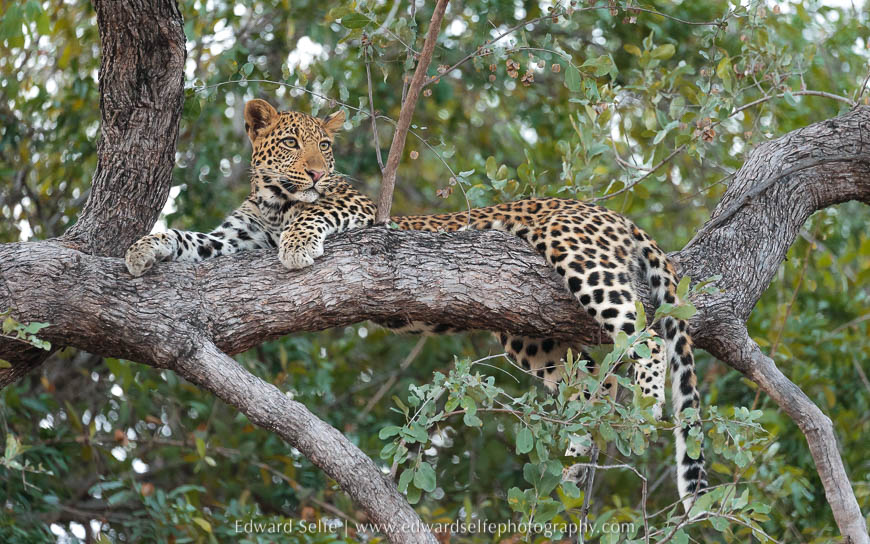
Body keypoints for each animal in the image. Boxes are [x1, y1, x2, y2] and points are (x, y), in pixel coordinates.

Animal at [125, 99, 707, 511]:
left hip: (582, 262)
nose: (314, 173)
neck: (273, 201)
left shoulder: (357, 211)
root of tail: (612, 215)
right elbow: (187, 237)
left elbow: (313, 214)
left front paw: (297, 244)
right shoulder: (232, 241)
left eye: (325, 149)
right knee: (595, 385)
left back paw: (644, 406)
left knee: (647, 339)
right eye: (290, 142)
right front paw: (142, 249)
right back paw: (575, 464)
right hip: (529, 335)